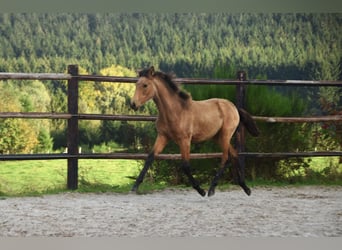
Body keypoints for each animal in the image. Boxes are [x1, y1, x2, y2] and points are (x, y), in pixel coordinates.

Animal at [130, 67, 258, 197]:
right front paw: (134, 187)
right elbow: (150, 158)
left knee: (226, 157)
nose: (133, 104)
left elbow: (186, 165)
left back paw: (212, 189)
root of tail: (234, 107)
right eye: (136, 84)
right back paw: (245, 188)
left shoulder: (185, 139)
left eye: (145, 85)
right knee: (234, 155)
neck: (175, 111)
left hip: (225, 135)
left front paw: (200, 190)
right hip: (218, 137)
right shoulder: (163, 136)